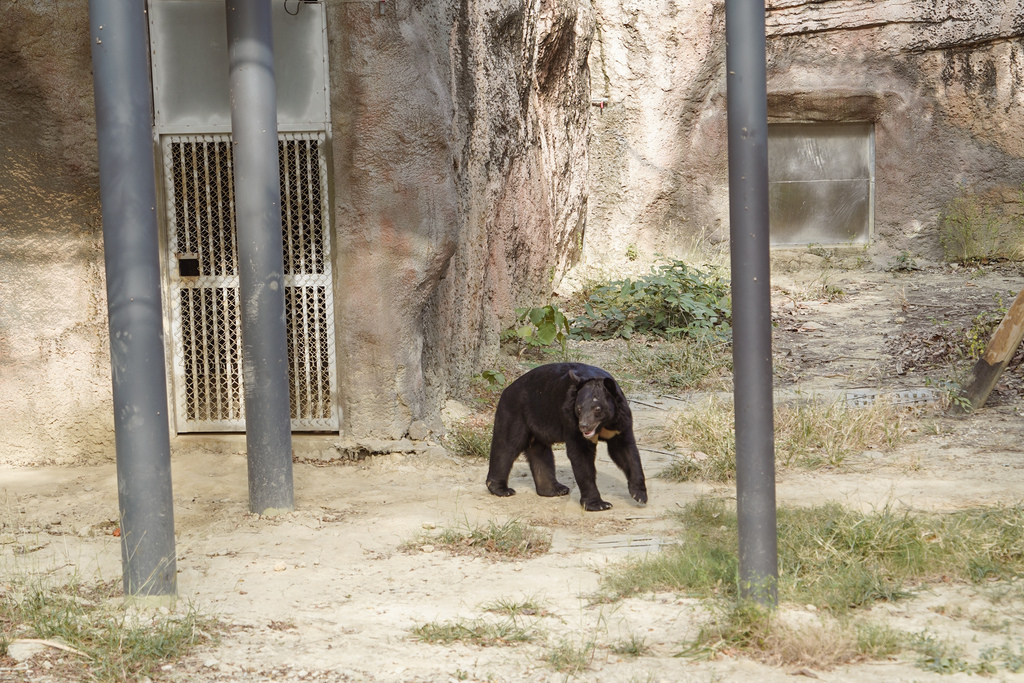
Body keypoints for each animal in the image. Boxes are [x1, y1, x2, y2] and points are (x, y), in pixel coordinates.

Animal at [483, 362, 643, 511]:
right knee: (507, 446)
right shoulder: (570, 421)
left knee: (539, 451)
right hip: (515, 413)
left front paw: (639, 494)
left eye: (597, 408)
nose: (584, 426)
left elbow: (626, 452)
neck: (604, 425)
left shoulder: (620, 422)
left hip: (538, 420)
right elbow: (581, 455)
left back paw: (554, 489)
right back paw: (502, 489)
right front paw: (599, 504)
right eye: (579, 408)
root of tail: (506, 390)